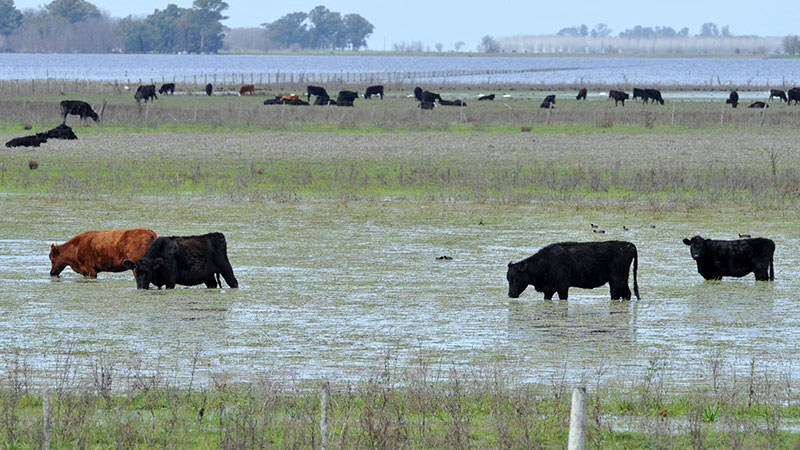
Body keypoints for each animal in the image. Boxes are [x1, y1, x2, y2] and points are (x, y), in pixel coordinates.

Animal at [506, 241, 644, 300]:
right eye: (508, 279)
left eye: (515, 279)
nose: (510, 294)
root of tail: (628, 245)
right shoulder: (549, 290)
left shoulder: (562, 287)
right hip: (623, 279)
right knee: (627, 294)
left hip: (615, 279)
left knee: (616, 295)